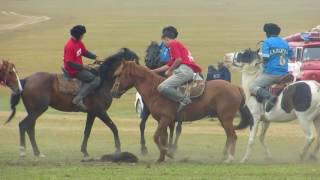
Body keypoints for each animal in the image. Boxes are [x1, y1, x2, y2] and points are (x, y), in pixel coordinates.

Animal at [4, 48, 138, 158]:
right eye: (134, 62)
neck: (103, 82)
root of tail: (26, 80)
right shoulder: (100, 111)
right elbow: (114, 127)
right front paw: (118, 149)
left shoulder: (92, 113)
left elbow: (87, 131)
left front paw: (85, 151)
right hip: (37, 110)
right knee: (23, 125)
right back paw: (23, 151)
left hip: (33, 111)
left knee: (30, 128)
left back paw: (37, 153)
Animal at [111, 61, 254, 163]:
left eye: (118, 74)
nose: (113, 92)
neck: (155, 91)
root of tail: (235, 87)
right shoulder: (164, 121)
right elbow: (163, 138)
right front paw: (161, 158)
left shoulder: (165, 119)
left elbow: (156, 137)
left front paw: (169, 153)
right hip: (223, 119)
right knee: (229, 136)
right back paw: (225, 156)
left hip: (226, 118)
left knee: (233, 136)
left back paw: (230, 158)